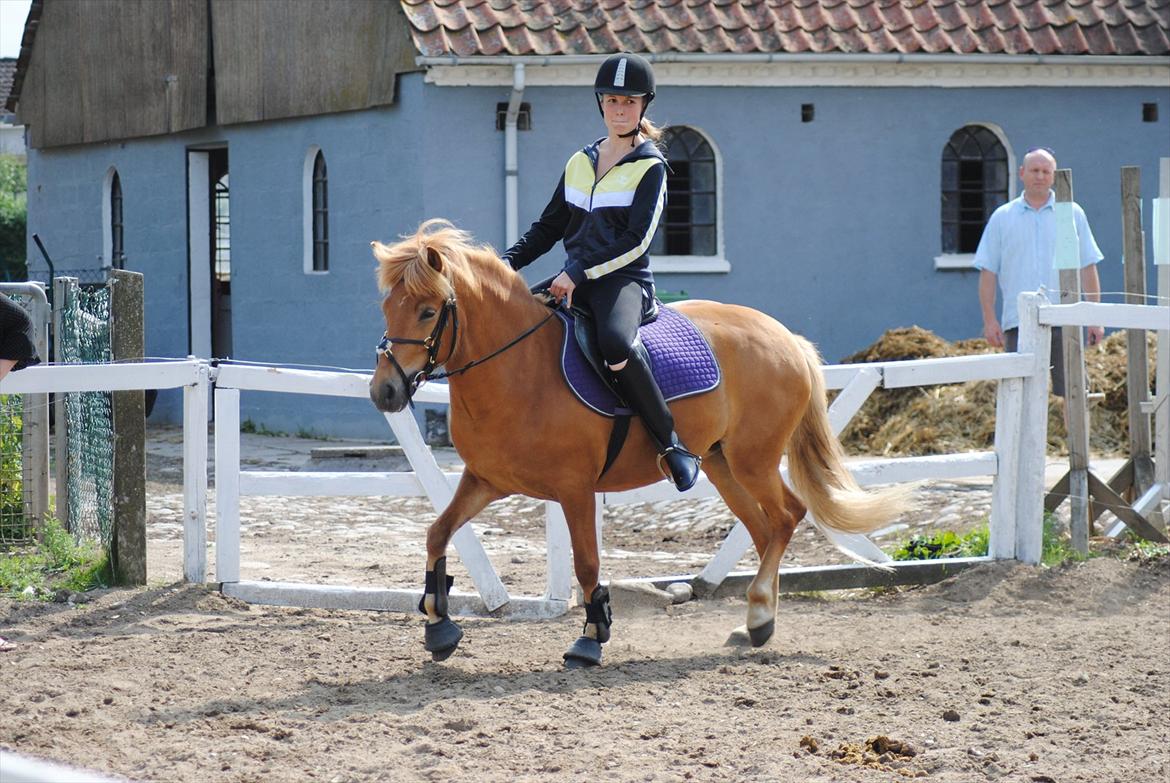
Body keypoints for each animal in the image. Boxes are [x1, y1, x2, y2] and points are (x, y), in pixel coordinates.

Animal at [369, 218, 898, 664]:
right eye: (387, 308)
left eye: (428, 312)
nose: (384, 392)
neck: (521, 370)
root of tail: (786, 337)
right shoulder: (486, 481)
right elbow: (437, 533)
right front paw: (438, 625)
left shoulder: (575, 490)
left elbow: (587, 565)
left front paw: (590, 638)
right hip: (722, 465)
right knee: (765, 528)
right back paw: (753, 624)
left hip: (754, 460)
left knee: (787, 515)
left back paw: (762, 615)